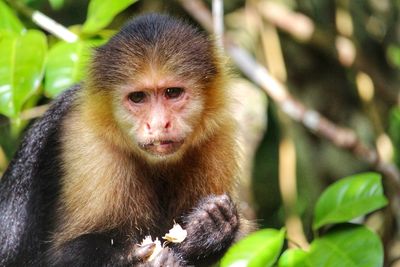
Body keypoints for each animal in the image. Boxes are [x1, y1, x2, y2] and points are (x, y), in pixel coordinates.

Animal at [0, 13, 252, 266]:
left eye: (172, 93)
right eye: (138, 97)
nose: (158, 123)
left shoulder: (218, 138)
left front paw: (211, 227)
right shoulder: (86, 143)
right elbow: (56, 257)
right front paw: (129, 255)